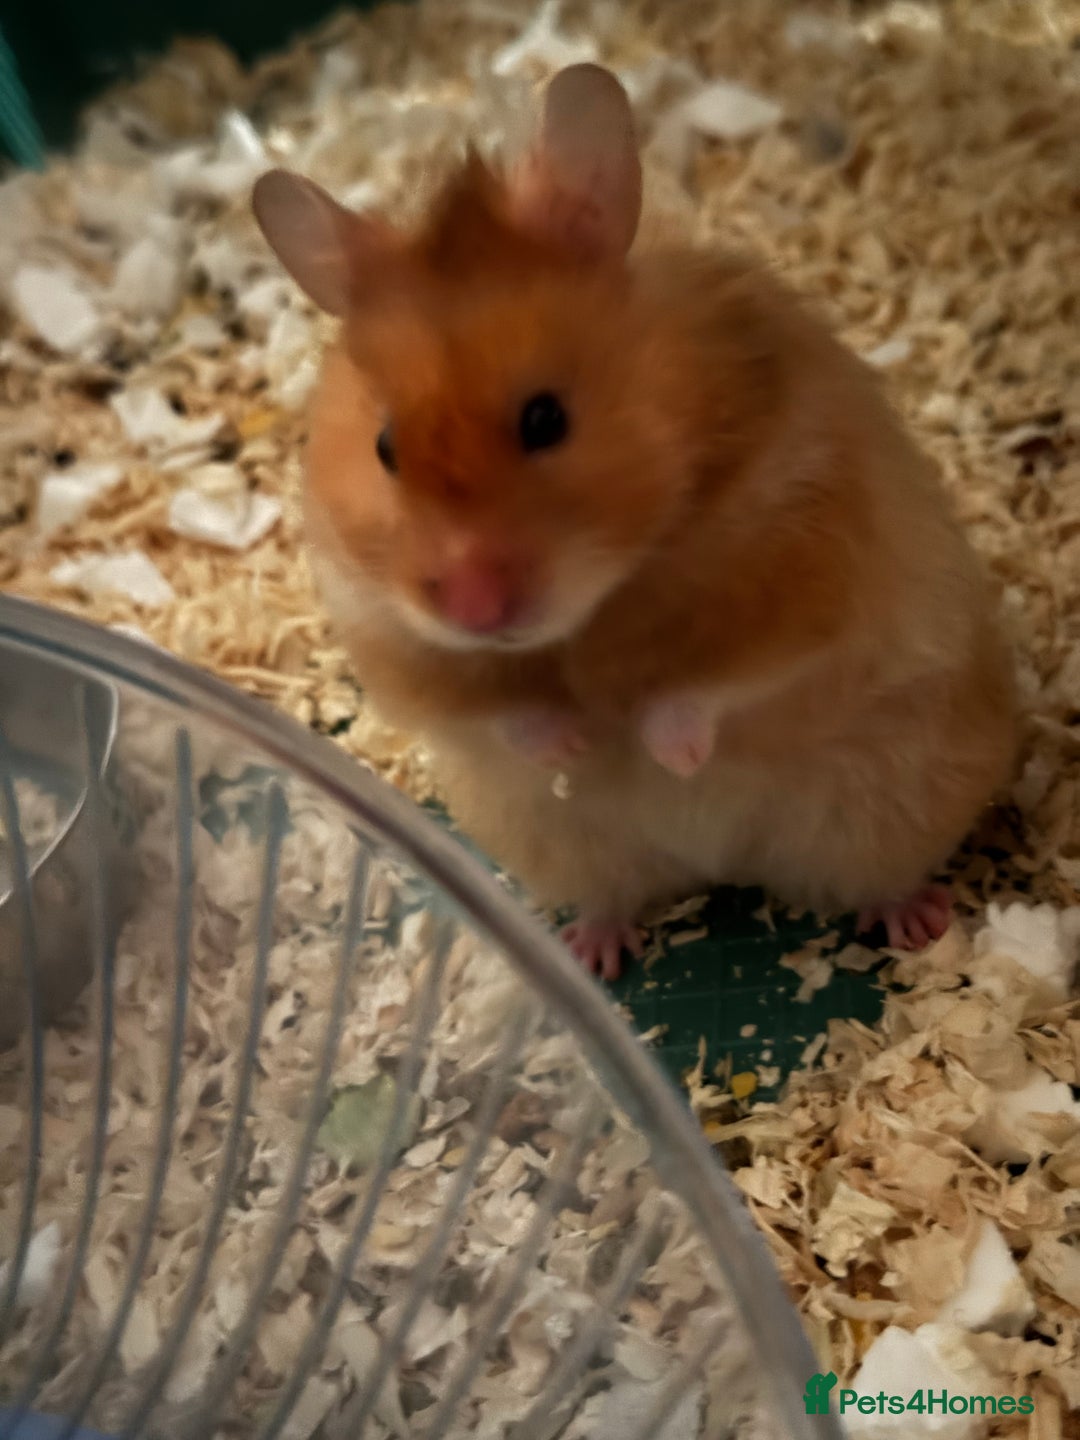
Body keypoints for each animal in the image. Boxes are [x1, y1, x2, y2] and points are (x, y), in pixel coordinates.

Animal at [252, 63, 1017, 979]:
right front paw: (578, 746)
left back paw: (918, 925)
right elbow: (496, 711)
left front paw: (665, 754)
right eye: (384, 448)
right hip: (562, 846)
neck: (606, 595)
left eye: (546, 419)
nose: (477, 612)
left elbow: (717, 681)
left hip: (903, 796)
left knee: (884, 878)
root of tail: (727, 862)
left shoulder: (809, 564)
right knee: (612, 896)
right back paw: (591, 953)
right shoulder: (389, 633)